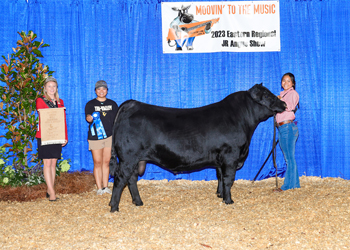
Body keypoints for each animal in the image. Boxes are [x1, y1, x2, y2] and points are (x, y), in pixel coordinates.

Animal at [108, 83, 286, 211]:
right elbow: (229, 179)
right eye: (267, 95)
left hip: (135, 159)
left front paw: (219, 195)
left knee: (131, 179)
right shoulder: (230, 156)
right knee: (120, 179)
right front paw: (229, 200)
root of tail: (132, 104)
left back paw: (138, 202)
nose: (284, 103)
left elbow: (220, 177)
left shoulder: (220, 159)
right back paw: (114, 207)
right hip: (128, 157)